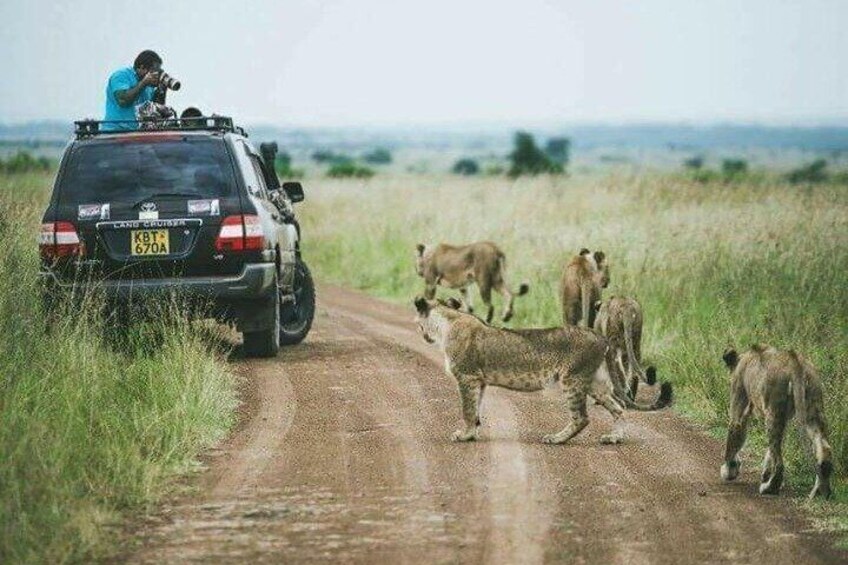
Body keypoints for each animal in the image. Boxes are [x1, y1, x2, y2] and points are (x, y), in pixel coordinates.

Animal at [413, 297, 672, 444]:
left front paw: (464, 435)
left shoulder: (467, 377)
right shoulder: (480, 381)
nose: (423, 335)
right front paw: (472, 434)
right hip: (595, 382)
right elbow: (475, 410)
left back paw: (556, 439)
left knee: (582, 417)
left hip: (572, 378)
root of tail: (600, 336)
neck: (447, 322)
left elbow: (467, 410)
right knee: (619, 408)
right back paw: (613, 438)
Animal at [720, 345, 833, 499]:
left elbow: (734, 436)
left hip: (773, 410)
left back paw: (769, 488)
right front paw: (765, 473)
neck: (743, 358)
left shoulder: (740, 403)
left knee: (779, 462)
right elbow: (771, 450)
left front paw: (728, 471)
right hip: (813, 408)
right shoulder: (784, 417)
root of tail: (795, 361)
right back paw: (820, 492)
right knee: (824, 448)